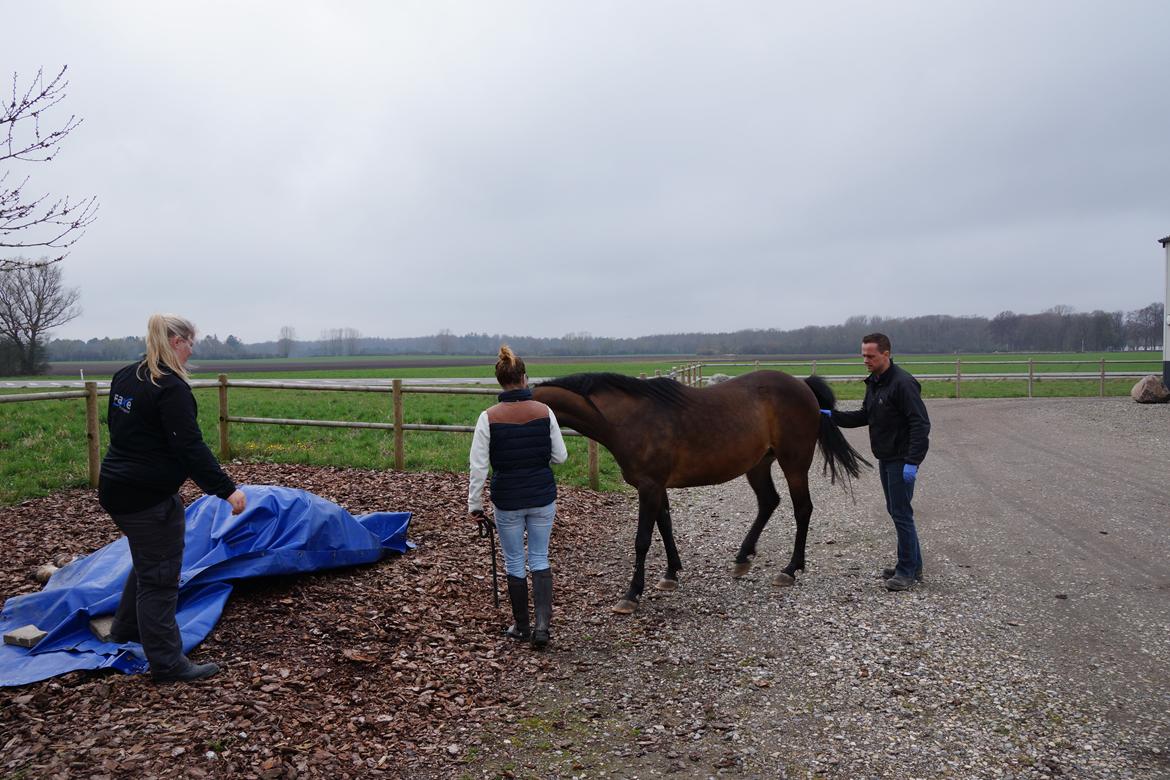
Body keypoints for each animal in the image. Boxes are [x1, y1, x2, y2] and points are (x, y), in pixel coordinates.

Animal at [535, 371, 865, 617]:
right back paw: (743, 556)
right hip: (759, 464)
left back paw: (790, 569)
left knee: (802, 509)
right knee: (769, 502)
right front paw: (671, 573)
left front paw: (632, 594)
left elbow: (643, 540)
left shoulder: (650, 486)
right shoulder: (656, 486)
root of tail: (802, 385)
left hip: (794, 463)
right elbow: (665, 526)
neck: (629, 418)